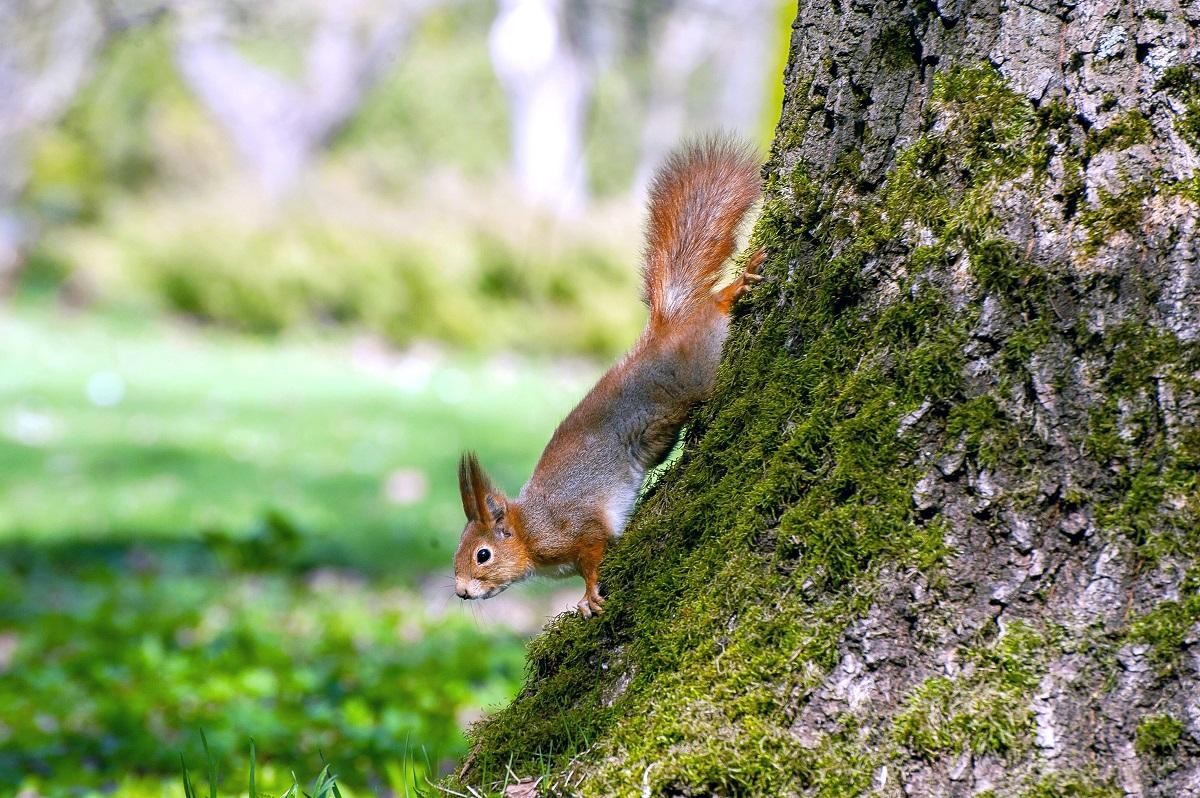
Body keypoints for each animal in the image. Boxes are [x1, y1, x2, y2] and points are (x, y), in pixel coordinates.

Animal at [454, 138, 763, 617]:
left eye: (482, 555)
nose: (460, 592)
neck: (530, 529)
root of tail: (665, 329)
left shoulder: (579, 528)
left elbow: (593, 556)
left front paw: (587, 596)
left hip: (701, 361)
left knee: (713, 308)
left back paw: (734, 290)